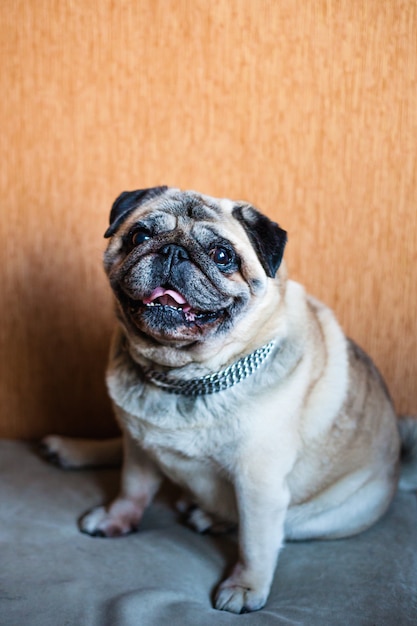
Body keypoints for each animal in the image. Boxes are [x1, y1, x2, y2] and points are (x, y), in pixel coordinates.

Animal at [41, 184, 416, 608]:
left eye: (222, 256)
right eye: (139, 236)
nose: (173, 251)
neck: (182, 378)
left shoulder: (258, 484)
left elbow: (255, 543)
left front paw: (245, 586)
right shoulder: (140, 450)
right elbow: (131, 489)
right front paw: (116, 518)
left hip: (314, 515)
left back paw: (209, 516)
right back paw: (71, 448)